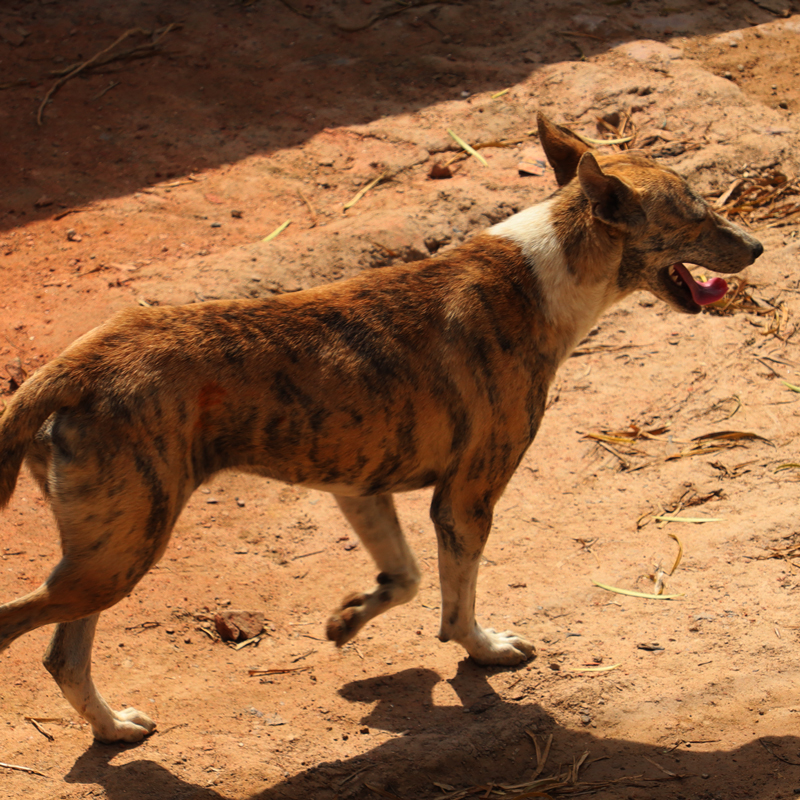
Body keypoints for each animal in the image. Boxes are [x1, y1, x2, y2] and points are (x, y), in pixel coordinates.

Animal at [0, 114, 764, 744]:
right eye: (697, 216)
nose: (758, 246)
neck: (543, 275)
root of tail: (76, 364)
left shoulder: (362, 487)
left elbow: (406, 579)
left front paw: (349, 621)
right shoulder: (466, 500)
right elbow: (457, 602)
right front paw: (483, 652)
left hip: (103, 559)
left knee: (64, 658)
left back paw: (113, 728)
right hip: (118, 559)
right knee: (22, 629)